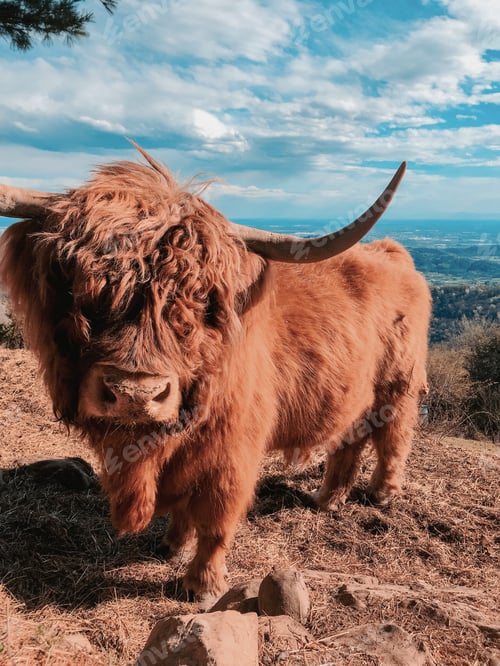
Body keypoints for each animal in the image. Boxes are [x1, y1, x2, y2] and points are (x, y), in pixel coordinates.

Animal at [0, 145, 431, 604]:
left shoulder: (231, 451)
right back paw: (326, 498)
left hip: (398, 388)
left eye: (199, 301)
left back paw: (382, 494)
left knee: (393, 438)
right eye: (80, 288)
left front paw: (201, 584)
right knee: (350, 439)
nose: (136, 394)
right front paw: (171, 544)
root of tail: (392, 253)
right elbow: (182, 508)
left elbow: (215, 516)